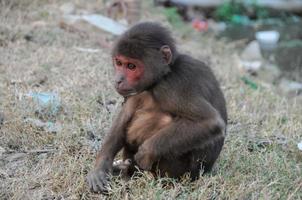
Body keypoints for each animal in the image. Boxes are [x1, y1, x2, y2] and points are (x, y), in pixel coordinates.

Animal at [86, 21, 226, 194]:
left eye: (131, 66)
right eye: (119, 63)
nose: (118, 80)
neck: (167, 72)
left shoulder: (170, 87)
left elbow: (209, 121)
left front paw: (146, 153)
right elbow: (125, 115)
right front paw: (100, 168)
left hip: (181, 172)